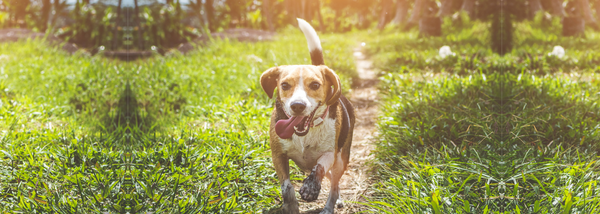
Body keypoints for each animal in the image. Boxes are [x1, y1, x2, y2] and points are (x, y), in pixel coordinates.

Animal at [258, 18, 354, 214]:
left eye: (315, 85)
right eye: (285, 85)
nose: (297, 106)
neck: (306, 133)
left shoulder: (330, 153)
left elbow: (319, 167)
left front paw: (310, 187)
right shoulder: (278, 155)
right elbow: (286, 187)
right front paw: (291, 205)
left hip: (342, 159)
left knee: (334, 184)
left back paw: (330, 206)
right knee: (332, 180)